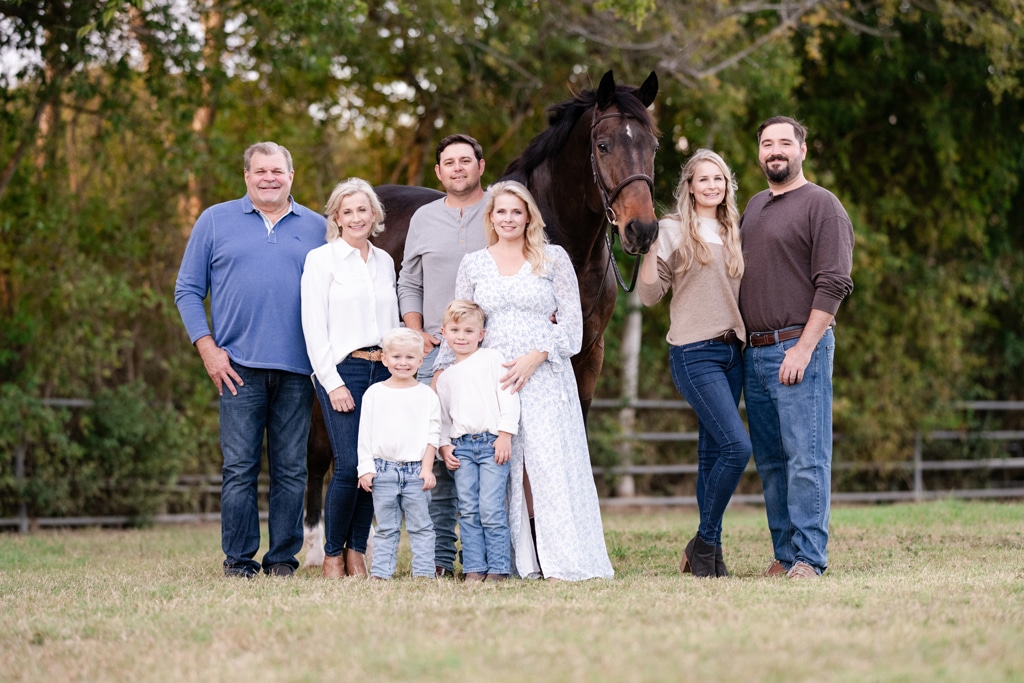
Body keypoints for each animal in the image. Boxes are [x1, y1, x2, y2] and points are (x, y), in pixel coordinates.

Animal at [299, 70, 659, 565]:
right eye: (603, 145)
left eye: (653, 146)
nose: (642, 231)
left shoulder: (588, 355)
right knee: (321, 451)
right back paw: (317, 550)